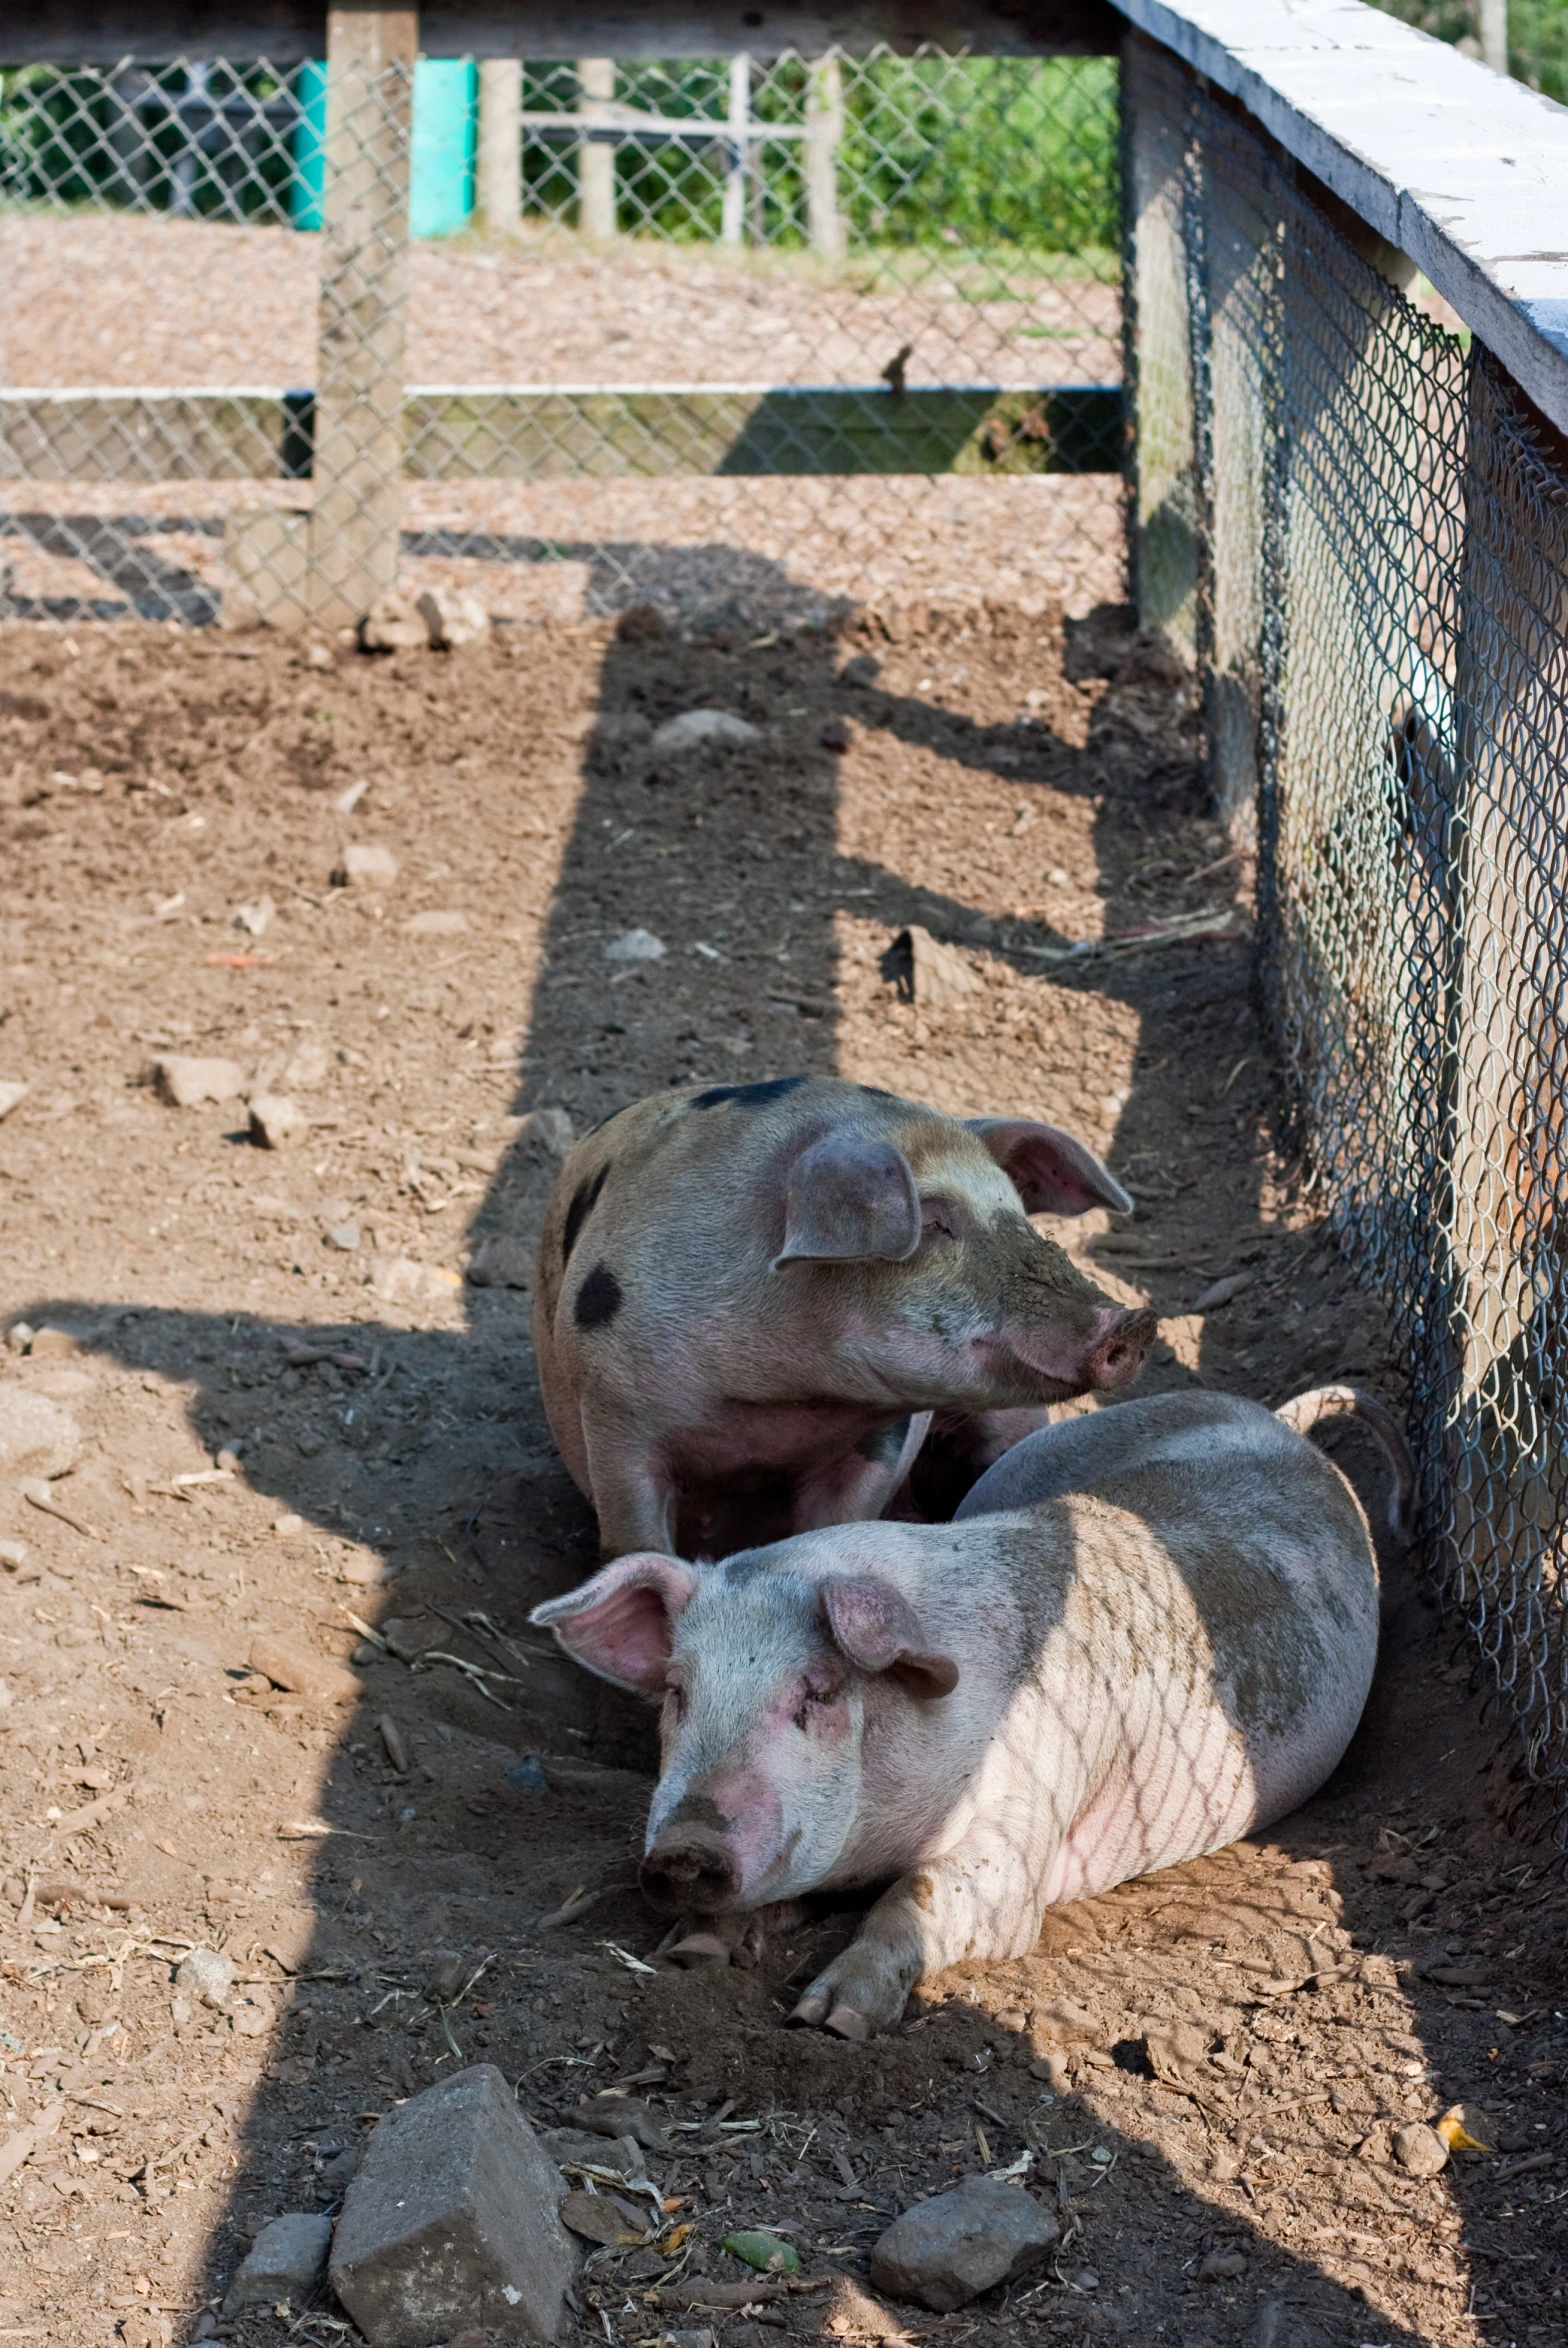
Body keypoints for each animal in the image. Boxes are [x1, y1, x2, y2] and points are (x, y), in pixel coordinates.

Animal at [530, 1075, 1150, 1559]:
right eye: (933, 1220)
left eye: (1019, 1215)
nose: (1134, 1322)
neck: (775, 1398)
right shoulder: (612, 1404)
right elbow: (633, 1541)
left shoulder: (881, 1436)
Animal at [530, 1390, 1408, 2038]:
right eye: (680, 1689)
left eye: (818, 1689)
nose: (684, 1848)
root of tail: (1277, 1421)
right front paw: (690, 1955)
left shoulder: (1023, 1835)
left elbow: (916, 1897)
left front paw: (830, 2017)